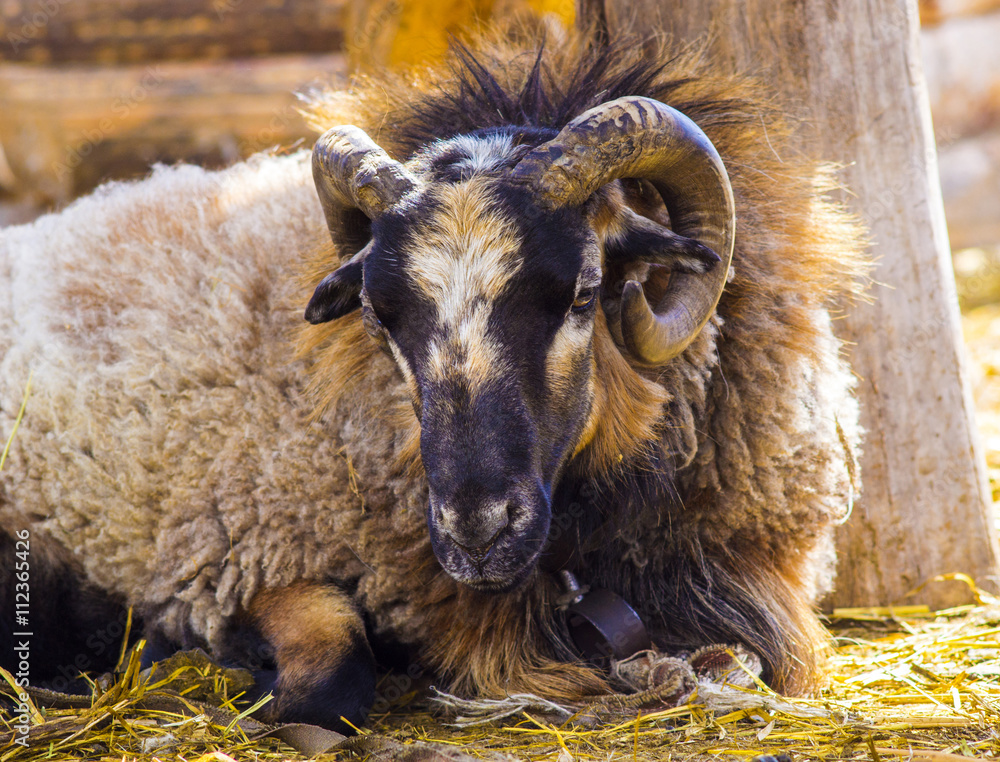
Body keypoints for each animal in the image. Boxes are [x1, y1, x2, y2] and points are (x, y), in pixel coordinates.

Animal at [0, 17, 867, 733]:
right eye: (379, 316)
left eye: (585, 293)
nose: (475, 531)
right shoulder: (236, 558)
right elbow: (331, 674)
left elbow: (746, 661)